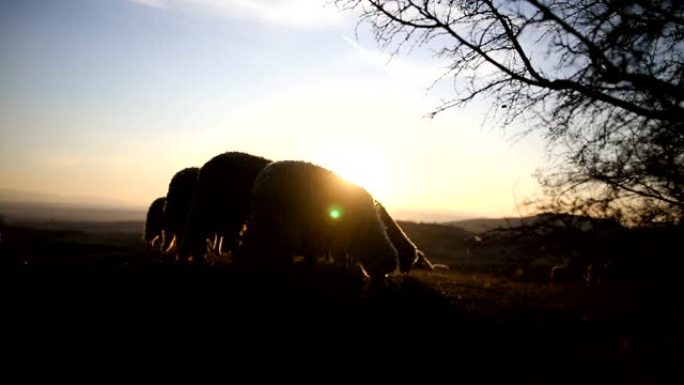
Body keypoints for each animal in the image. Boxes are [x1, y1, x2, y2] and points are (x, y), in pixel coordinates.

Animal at [240, 159, 400, 280]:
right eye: (384, 269)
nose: (378, 282)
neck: (368, 233)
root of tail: (264, 175)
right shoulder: (339, 232)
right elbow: (338, 253)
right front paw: (340, 268)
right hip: (280, 216)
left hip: (268, 215)